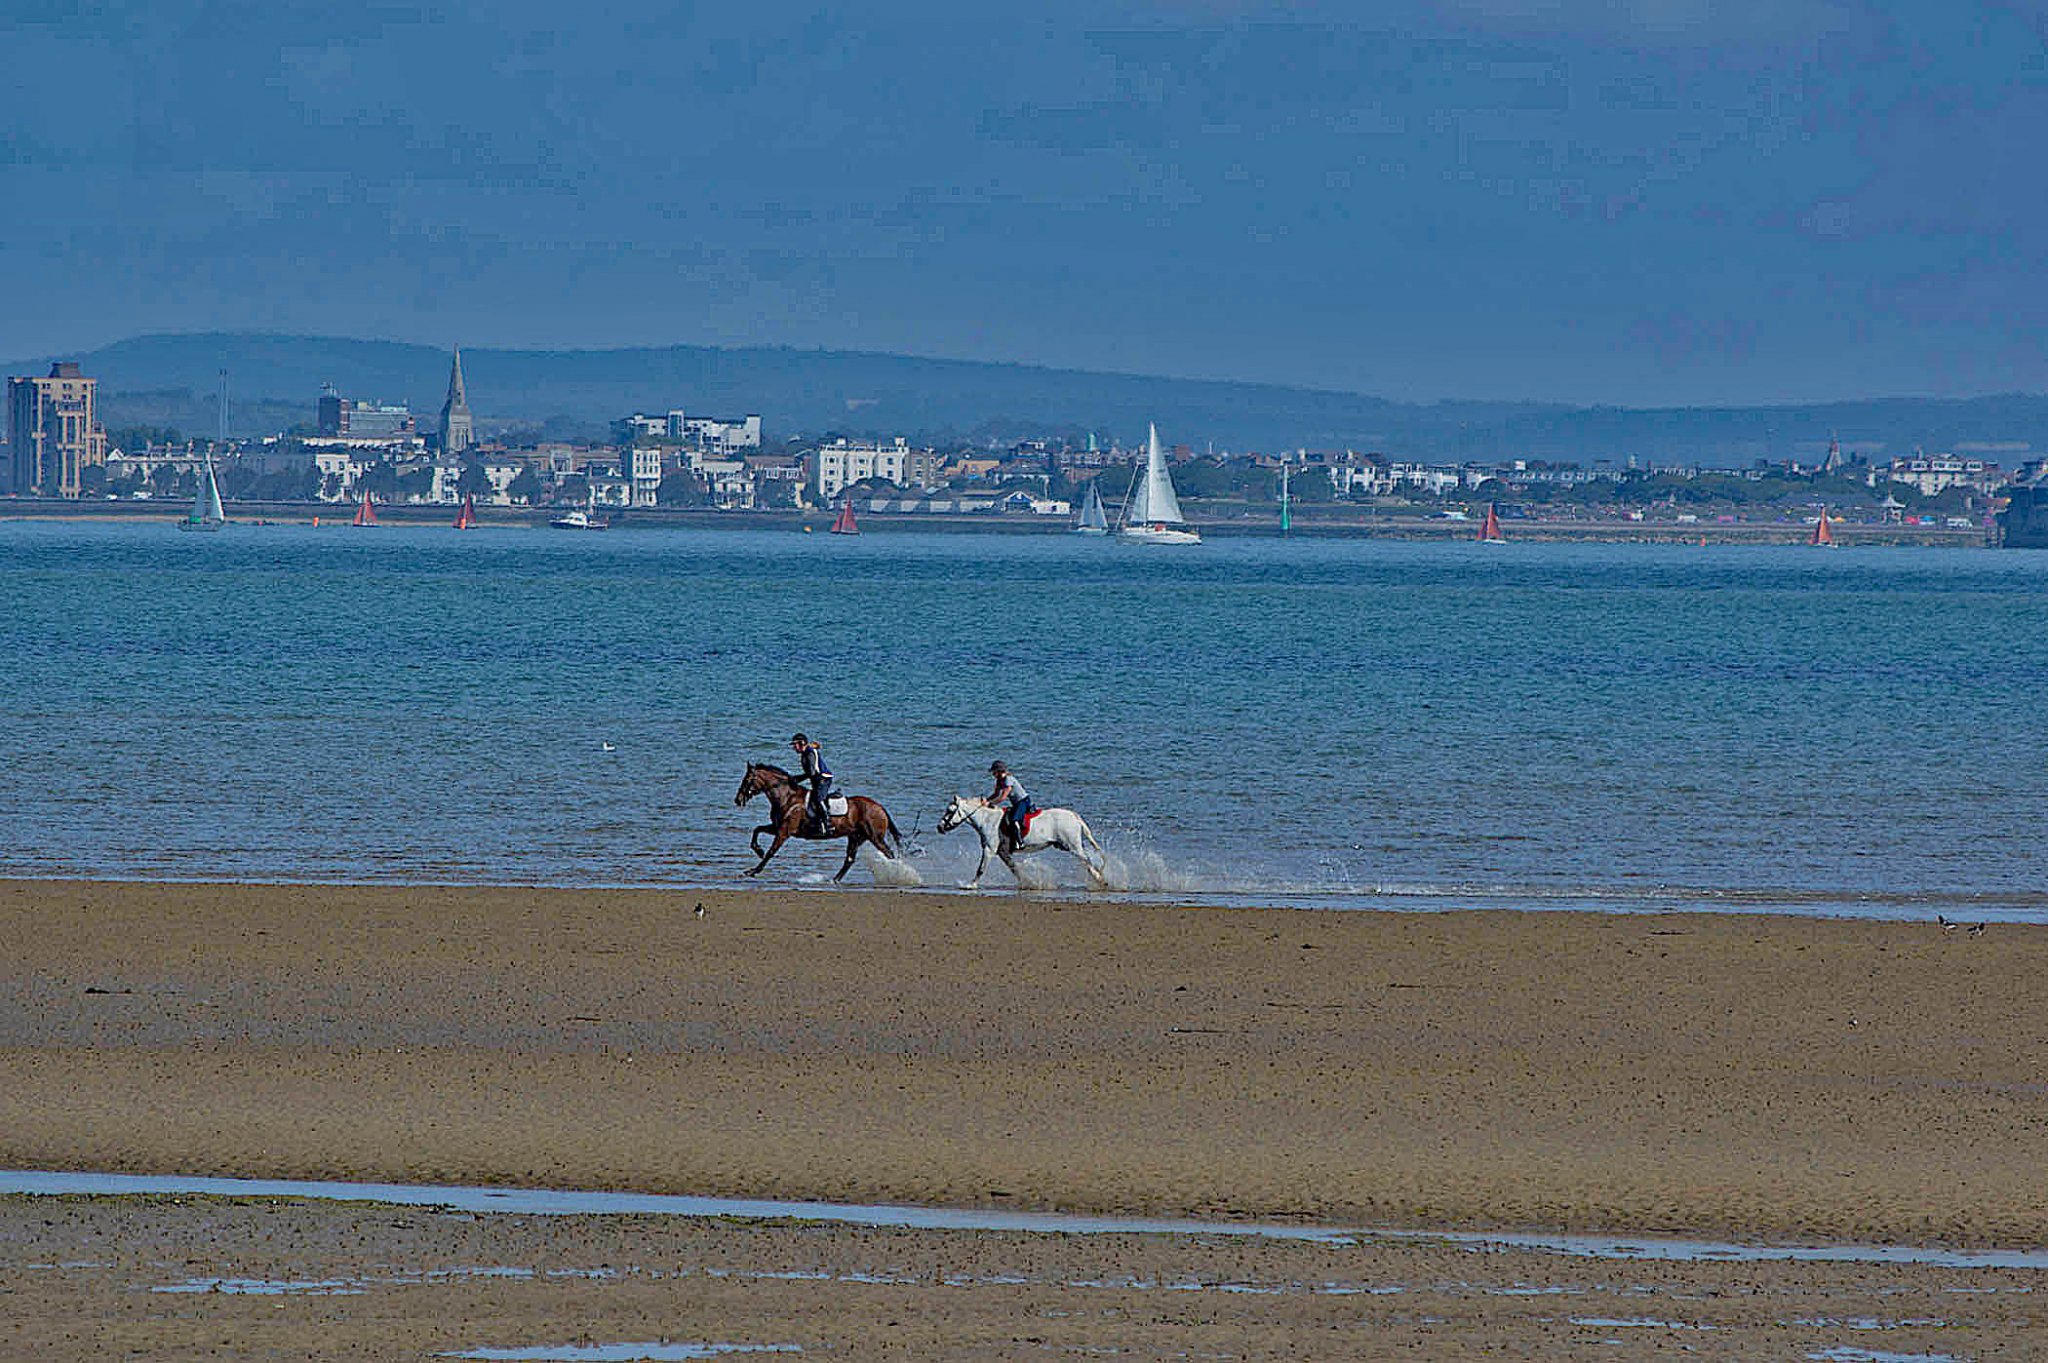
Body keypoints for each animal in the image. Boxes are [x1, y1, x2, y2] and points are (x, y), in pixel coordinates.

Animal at [733, 757, 901, 875]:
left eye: (747, 780)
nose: (738, 800)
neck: (787, 797)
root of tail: (880, 807)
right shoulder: (777, 827)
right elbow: (757, 829)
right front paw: (758, 850)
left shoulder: (784, 831)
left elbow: (771, 851)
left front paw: (754, 871)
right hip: (856, 837)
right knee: (849, 859)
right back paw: (833, 880)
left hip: (875, 837)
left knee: (889, 854)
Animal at [937, 789, 1114, 888]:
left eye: (950, 811)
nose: (939, 827)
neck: (987, 819)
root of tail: (1074, 816)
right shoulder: (1002, 852)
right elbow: (1014, 868)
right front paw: (1028, 883)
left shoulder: (989, 850)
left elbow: (981, 868)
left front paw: (970, 885)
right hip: (1067, 846)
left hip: (1073, 846)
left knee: (1088, 861)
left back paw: (1101, 880)